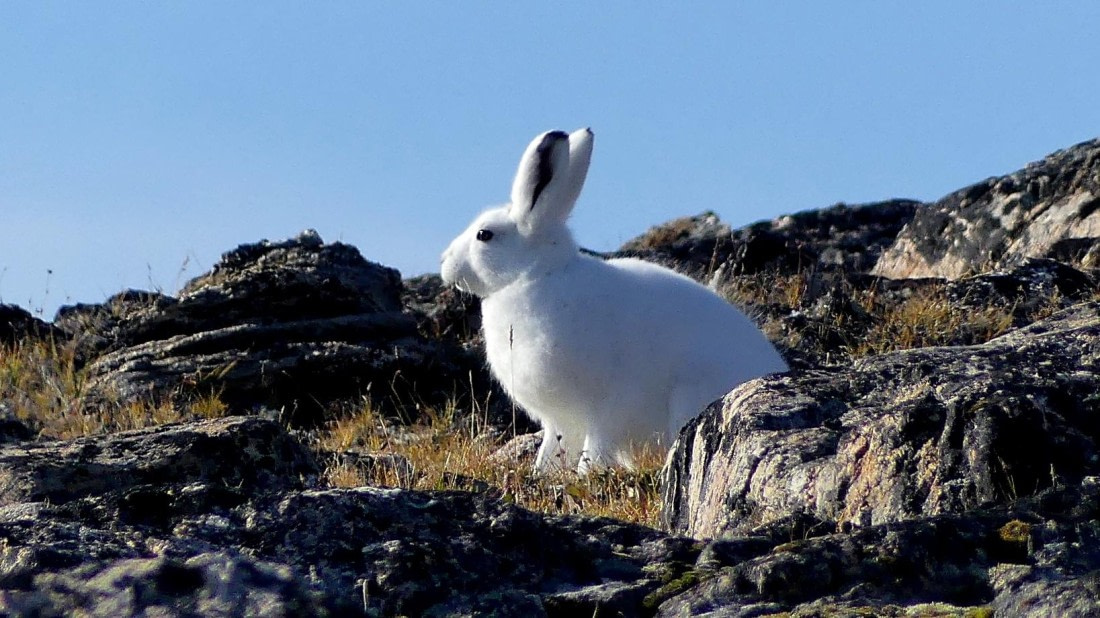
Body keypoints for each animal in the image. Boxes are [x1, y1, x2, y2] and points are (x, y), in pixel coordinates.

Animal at [441, 128, 788, 472]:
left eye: (484, 235)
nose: (445, 263)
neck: (538, 275)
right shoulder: (559, 420)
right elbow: (552, 447)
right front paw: (541, 474)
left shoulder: (607, 408)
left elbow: (596, 446)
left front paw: (584, 475)